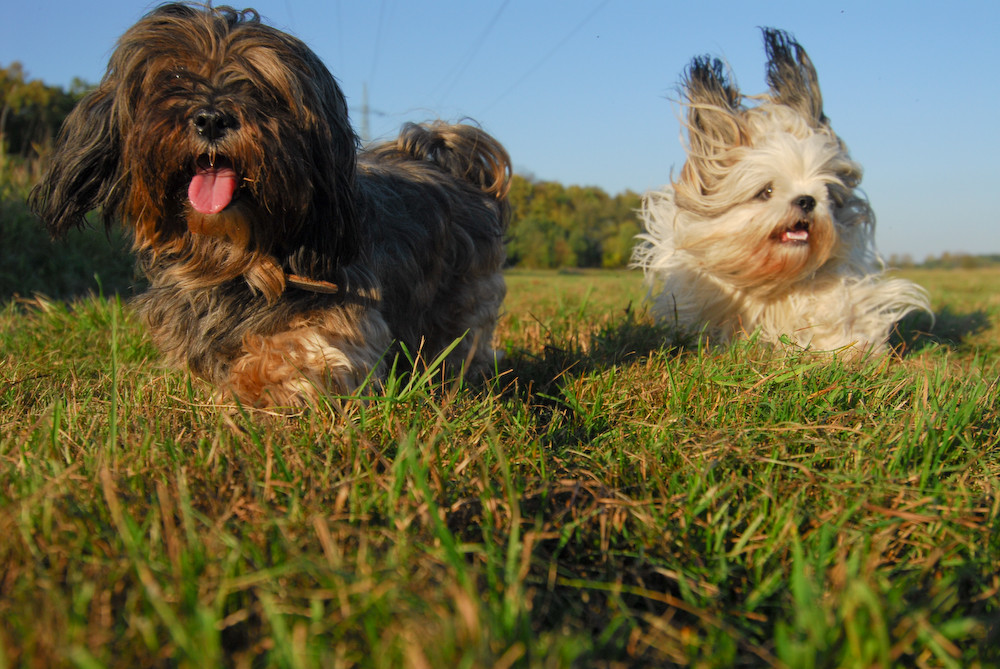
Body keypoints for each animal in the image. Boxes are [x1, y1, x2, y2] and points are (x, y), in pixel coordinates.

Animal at [29, 2, 516, 404]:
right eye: (176, 77)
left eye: (260, 89)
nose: (211, 118)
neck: (231, 255)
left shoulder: (339, 313)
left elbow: (291, 352)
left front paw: (248, 390)